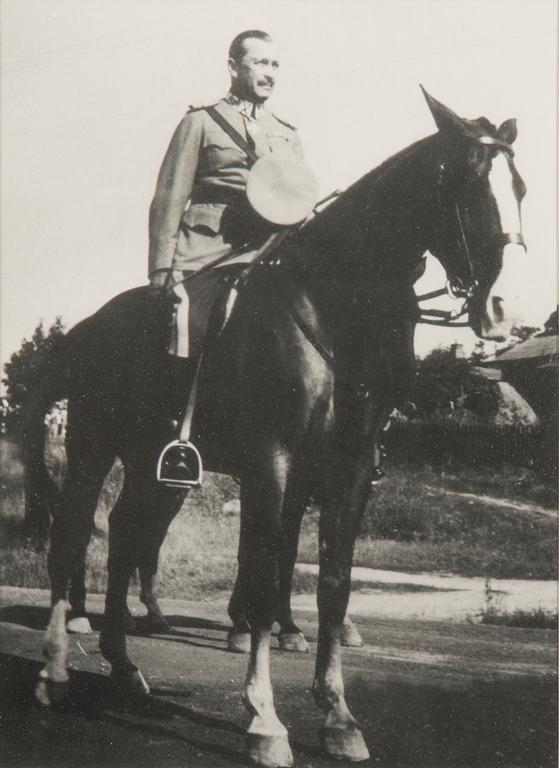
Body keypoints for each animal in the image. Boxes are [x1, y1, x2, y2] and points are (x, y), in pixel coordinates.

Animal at [25, 91, 524, 768]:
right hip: (90, 447)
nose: (500, 308)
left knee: (127, 536)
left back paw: (125, 669)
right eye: (464, 179)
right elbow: (263, 578)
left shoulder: (348, 469)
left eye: (514, 184)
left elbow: (332, 584)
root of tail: (84, 328)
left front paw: (338, 716)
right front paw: (264, 719)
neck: (336, 307)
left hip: (156, 468)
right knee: (73, 538)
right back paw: (54, 672)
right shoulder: (274, 462)